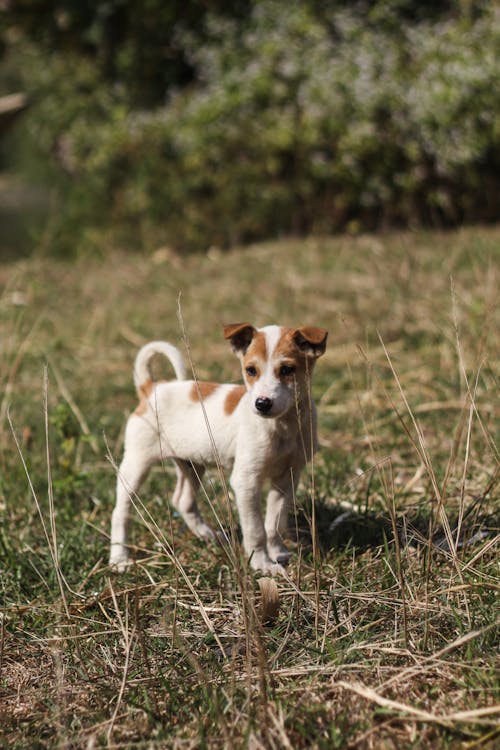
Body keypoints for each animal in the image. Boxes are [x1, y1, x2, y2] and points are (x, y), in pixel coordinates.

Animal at [109, 324, 328, 576]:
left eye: (287, 369)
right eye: (251, 370)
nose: (262, 403)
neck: (283, 425)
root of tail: (152, 388)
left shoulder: (288, 477)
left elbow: (274, 522)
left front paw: (277, 553)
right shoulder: (246, 481)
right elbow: (256, 530)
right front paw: (262, 564)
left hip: (192, 465)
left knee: (182, 500)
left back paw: (207, 535)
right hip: (136, 464)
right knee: (120, 512)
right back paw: (119, 559)